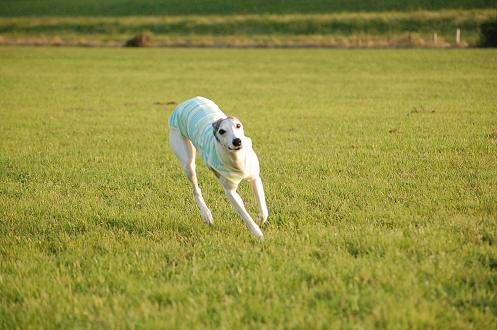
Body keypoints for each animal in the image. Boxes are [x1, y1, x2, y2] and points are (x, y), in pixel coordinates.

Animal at [168, 96, 270, 238]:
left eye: (238, 125)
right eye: (222, 131)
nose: (237, 141)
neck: (236, 158)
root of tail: (186, 102)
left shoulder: (254, 177)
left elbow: (262, 205)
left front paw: (261, 218)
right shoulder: (229, 190)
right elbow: (244, 214)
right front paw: (257, 234)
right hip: (185, 157)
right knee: (195, 188)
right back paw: (206, 215)